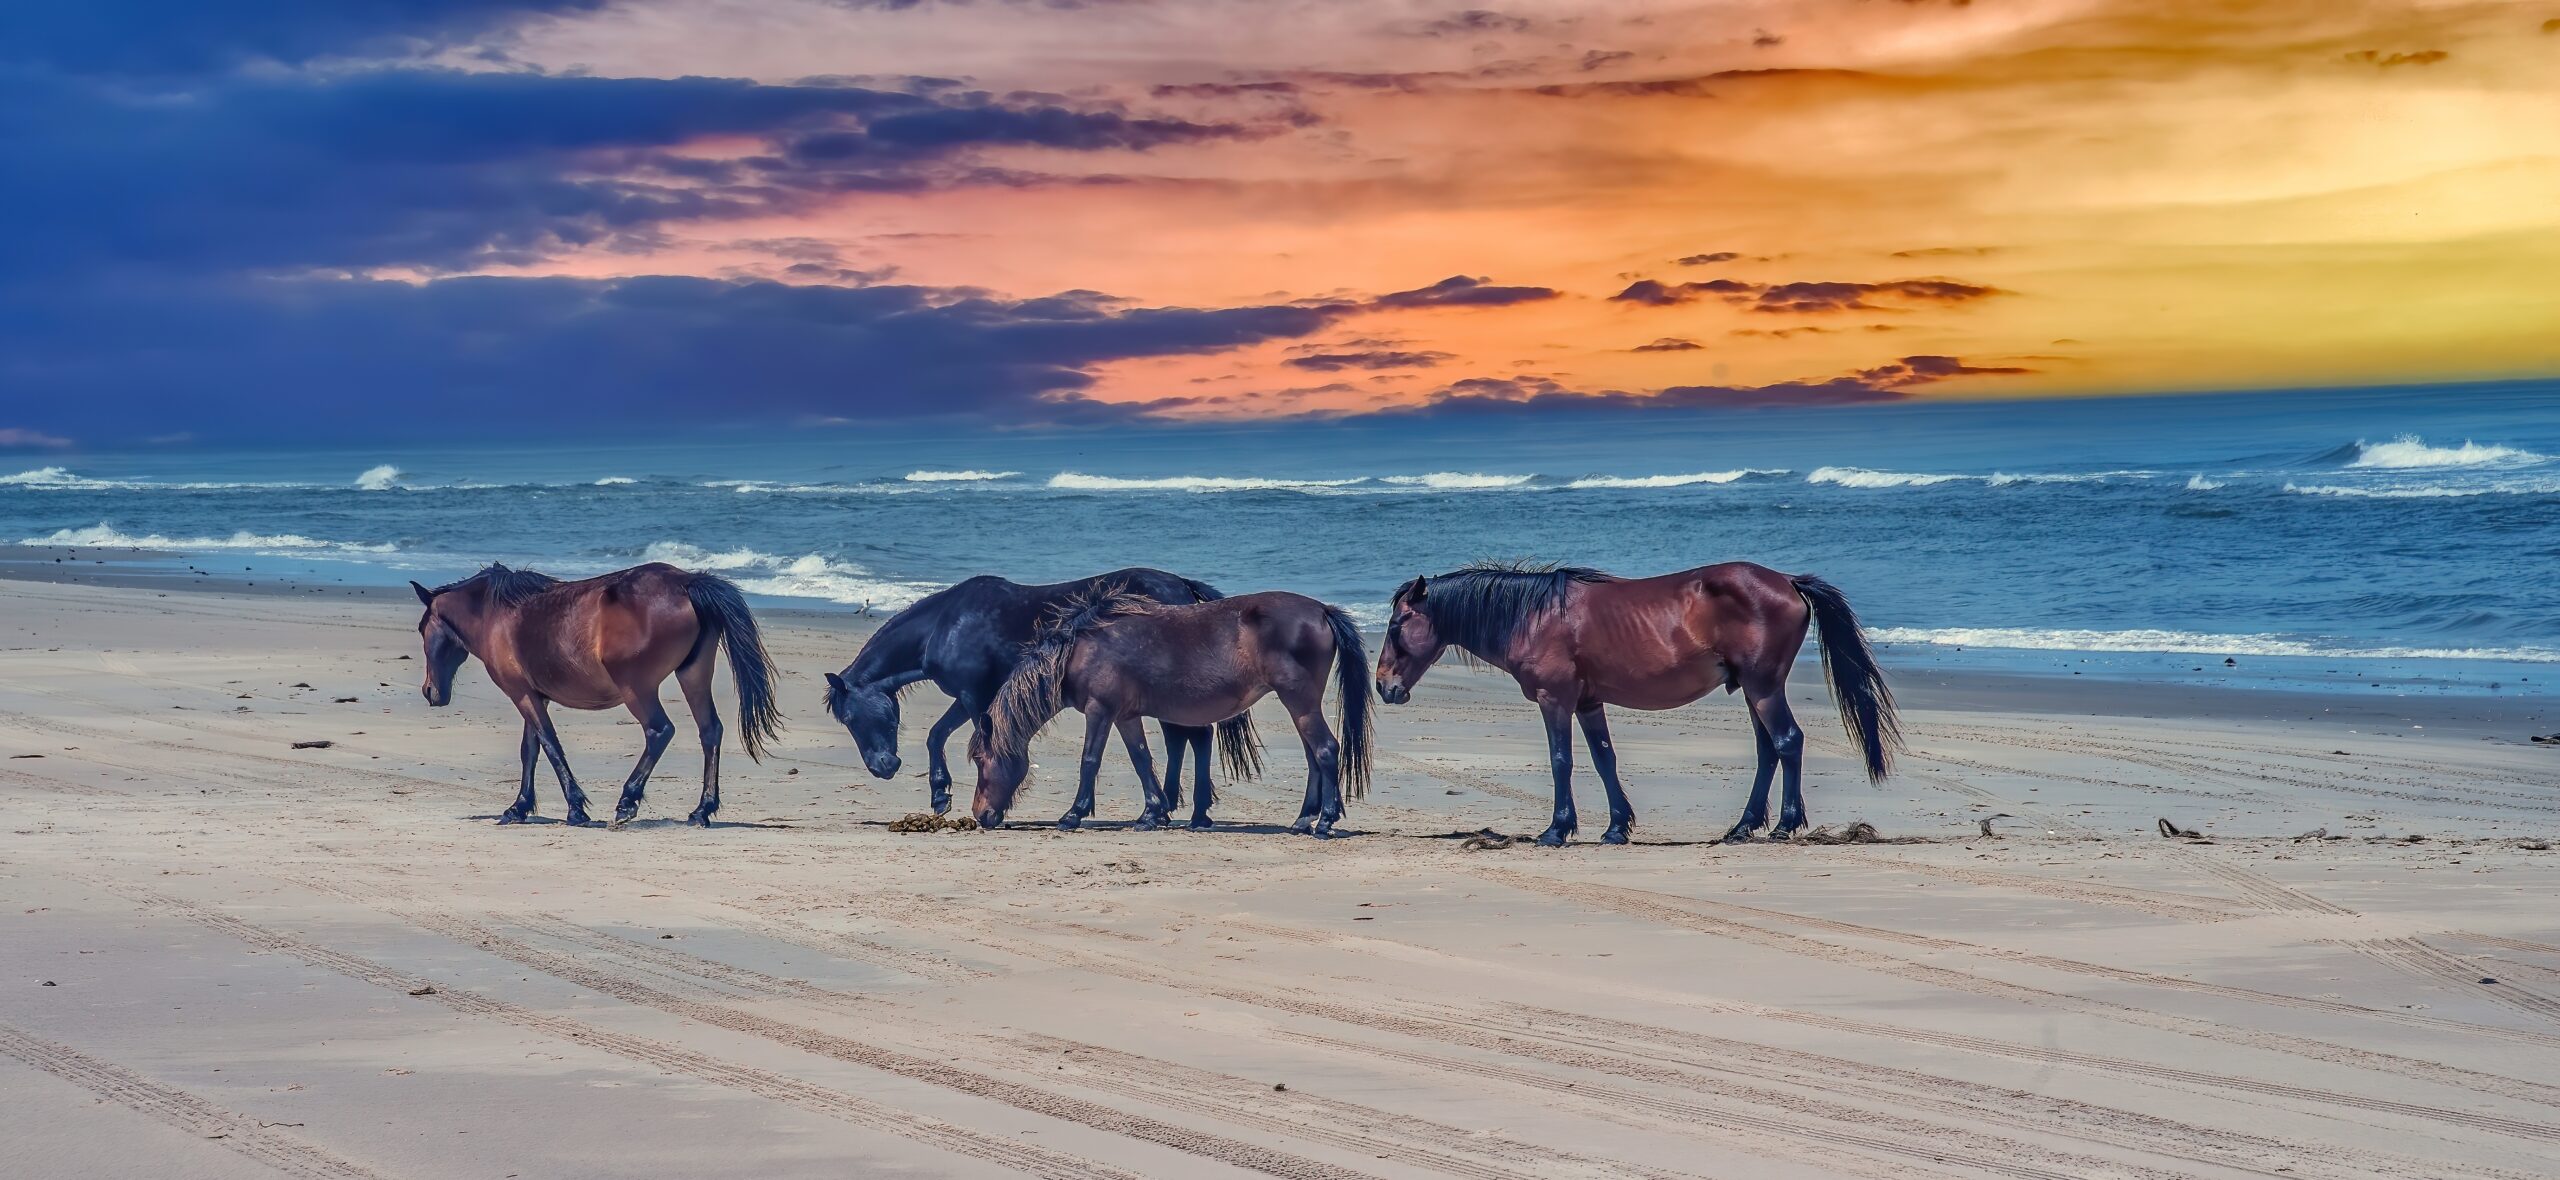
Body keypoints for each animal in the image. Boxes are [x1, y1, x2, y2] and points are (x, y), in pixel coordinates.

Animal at [413, 562, 783, 828]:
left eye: (421, 628)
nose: (431, 692)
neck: (497, 614)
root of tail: (687, 582)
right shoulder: (534, 695)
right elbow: (530, 750)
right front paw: (518, 808)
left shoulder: (522, 695)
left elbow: (549, 745)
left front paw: (576, 809)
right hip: (692, 674)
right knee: (709, 731)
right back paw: (701, 811)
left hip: (638, 689)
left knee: (659, 731)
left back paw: (627, 803)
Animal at [822, 569, 1261, 817]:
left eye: (852, 717)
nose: (882, 767)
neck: (945, 626)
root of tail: (1181, 586)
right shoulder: (968, 696)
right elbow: (936, 735)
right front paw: (939, 796)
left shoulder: (977, 697)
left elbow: (985, 742)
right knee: (1184, 740)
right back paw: (1180, 807)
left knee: (1191, 737)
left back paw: (1185, 809)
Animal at [977, 590, 1371, 836]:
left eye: (980, 760)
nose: (980, 815)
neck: (1082, 649)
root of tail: (1321, 610)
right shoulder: (1125, 715)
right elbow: (1141, 759)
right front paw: (1151, 814)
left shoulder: (1100, 710)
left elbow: (1090, 760)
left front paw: (1072, 815)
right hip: (1301, 706)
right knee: (1313, 757)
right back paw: (1303, 820)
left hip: (1299, 701)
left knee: (1325, 750)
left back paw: (1324, 823)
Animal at [1373, 562, 1898, 845]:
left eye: (1397, 627)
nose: (1383, 686)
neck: (1533, 616)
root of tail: (1787, 581)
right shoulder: (1588, 703)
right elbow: (1604, 759)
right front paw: (1615, 828)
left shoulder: (1555, 700)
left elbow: (1561, 760)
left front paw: (1557, 830)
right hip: (1752, 691)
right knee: (1769, 750)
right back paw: (1743, 826)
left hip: (1764, 687)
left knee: (1788, 741)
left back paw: (1785, 825)